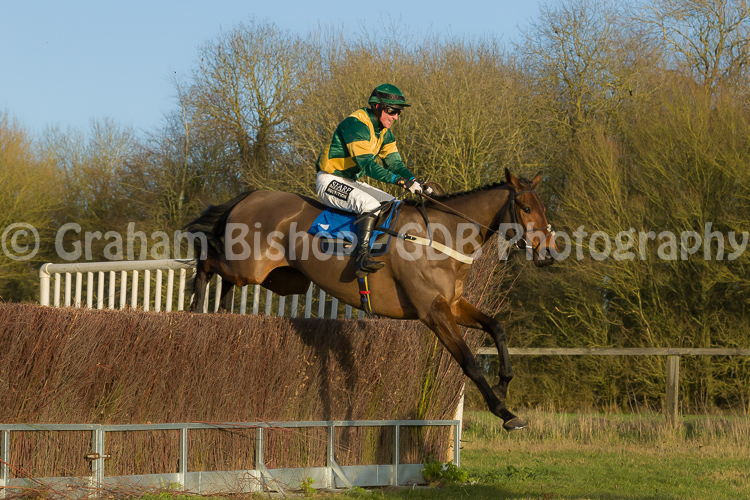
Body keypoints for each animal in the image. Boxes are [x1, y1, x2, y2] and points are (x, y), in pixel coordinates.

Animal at [183, 168, 557, 430]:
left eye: (543, 208)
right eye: (525, 207)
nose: (548, 253)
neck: (441, 235)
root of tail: (251, 195)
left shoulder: (452, 304)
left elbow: (497, 327)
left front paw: (505, 383)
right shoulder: (432, 311)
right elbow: (469, 362)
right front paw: (505, 413)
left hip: (279, 279)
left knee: (224, 278)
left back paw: (220, 313)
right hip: (247, 266)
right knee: (206, 256)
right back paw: (195, 306)